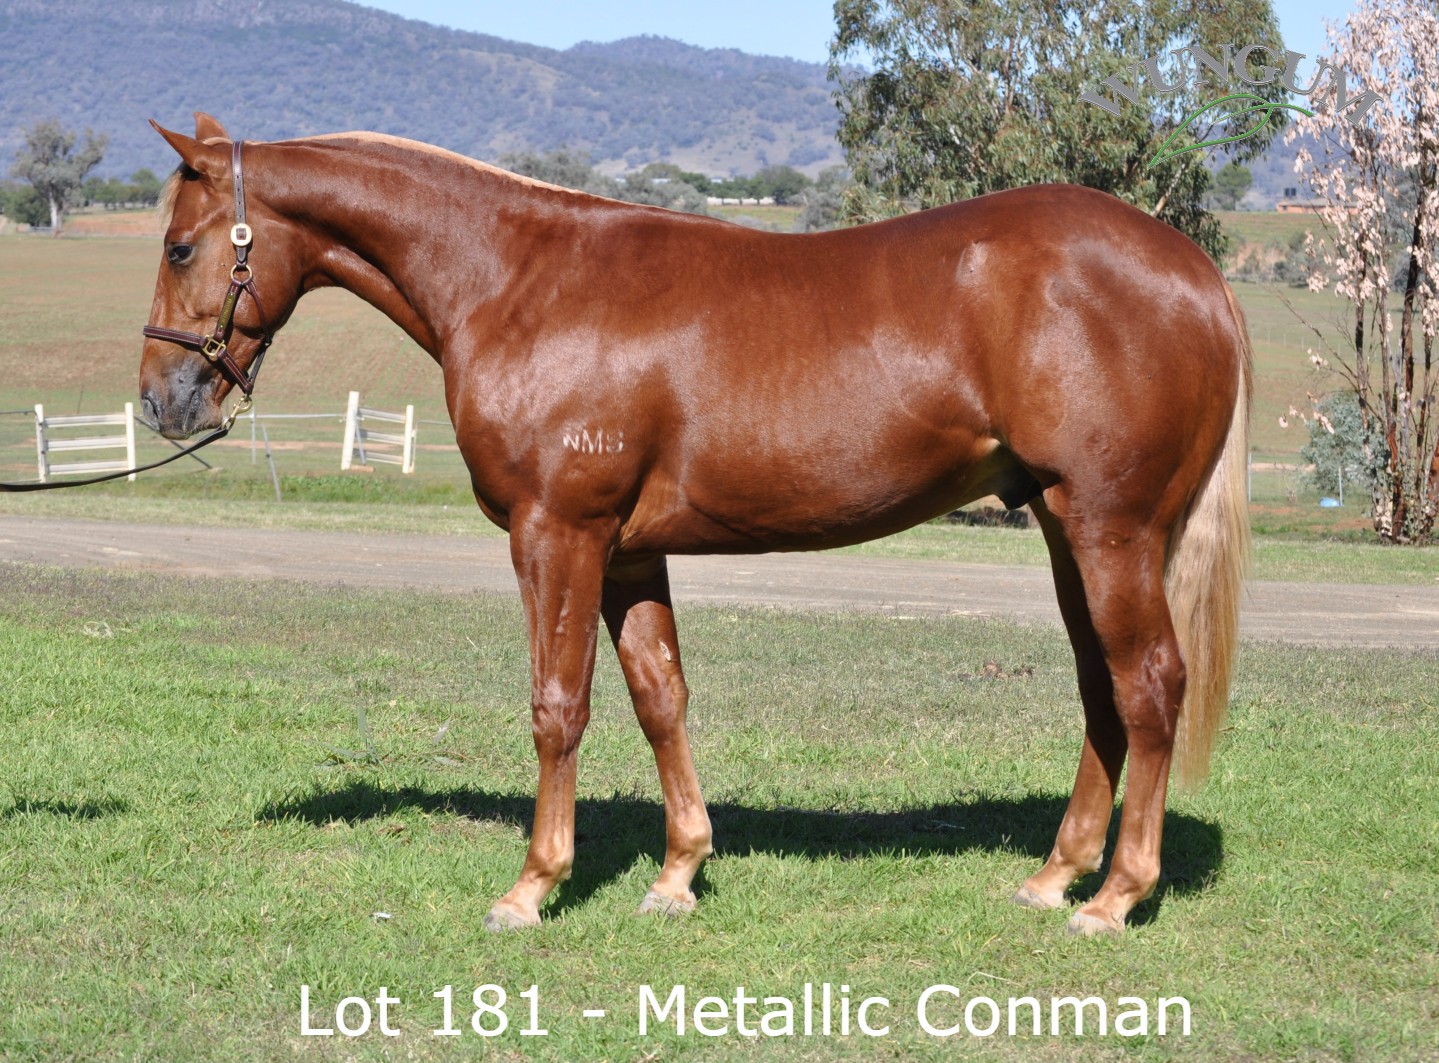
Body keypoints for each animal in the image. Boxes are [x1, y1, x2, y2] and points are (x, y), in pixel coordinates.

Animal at [140, 113, 1249, 937]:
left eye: (181, 244)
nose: (161, 399)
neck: (521, 281)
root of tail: (1191, 270)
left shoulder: (558, 533)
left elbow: (558, 706)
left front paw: (531, 886)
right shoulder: (630, 553)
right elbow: (658, 698)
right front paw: (678, 874)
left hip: (1109, 531)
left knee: (1149, 684)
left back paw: (1114, 896)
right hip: (1070, 533)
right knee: (1102, 693)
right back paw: (1056, 875)